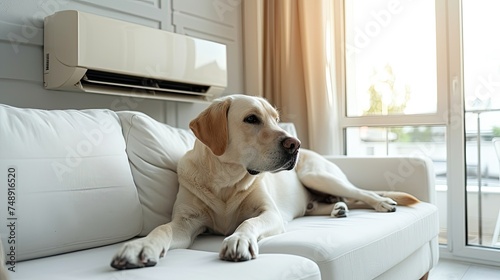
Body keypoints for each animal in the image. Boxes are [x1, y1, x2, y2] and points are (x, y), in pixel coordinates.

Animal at [110, 94, 418, 270]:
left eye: (276, 119)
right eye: (251, 119)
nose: (295, 144)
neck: (225, 180)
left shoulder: (269, 213)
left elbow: (248, 223)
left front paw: (238, 240)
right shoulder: (185, 224)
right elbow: (161, 229)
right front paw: (140, 247)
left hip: (317, 175)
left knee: (361, 192)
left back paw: (382, 202)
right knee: (328, 202)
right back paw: (337, 208)